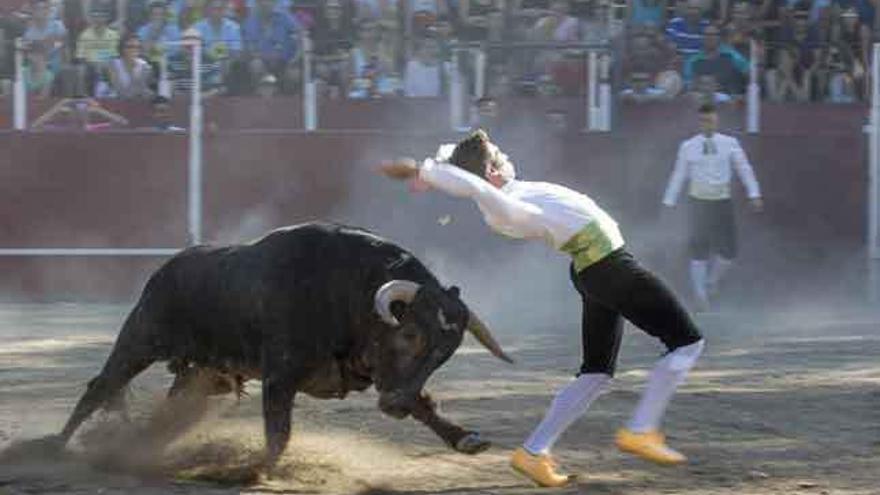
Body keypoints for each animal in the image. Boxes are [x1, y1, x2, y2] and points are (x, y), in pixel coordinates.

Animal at [55, 223, 512, 466]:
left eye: (445, 354)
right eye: (410, 334)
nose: (394, 407)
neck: (349, 292)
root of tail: (167, 267)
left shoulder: (389, 378)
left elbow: (425, 403)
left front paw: (466, 438)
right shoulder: (280, 376)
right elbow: (278, 433)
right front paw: (260, 470)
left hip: (205, 373)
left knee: (170, 406)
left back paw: (140, 448)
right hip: (141, 338)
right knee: (101, 387)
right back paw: (54, 447)